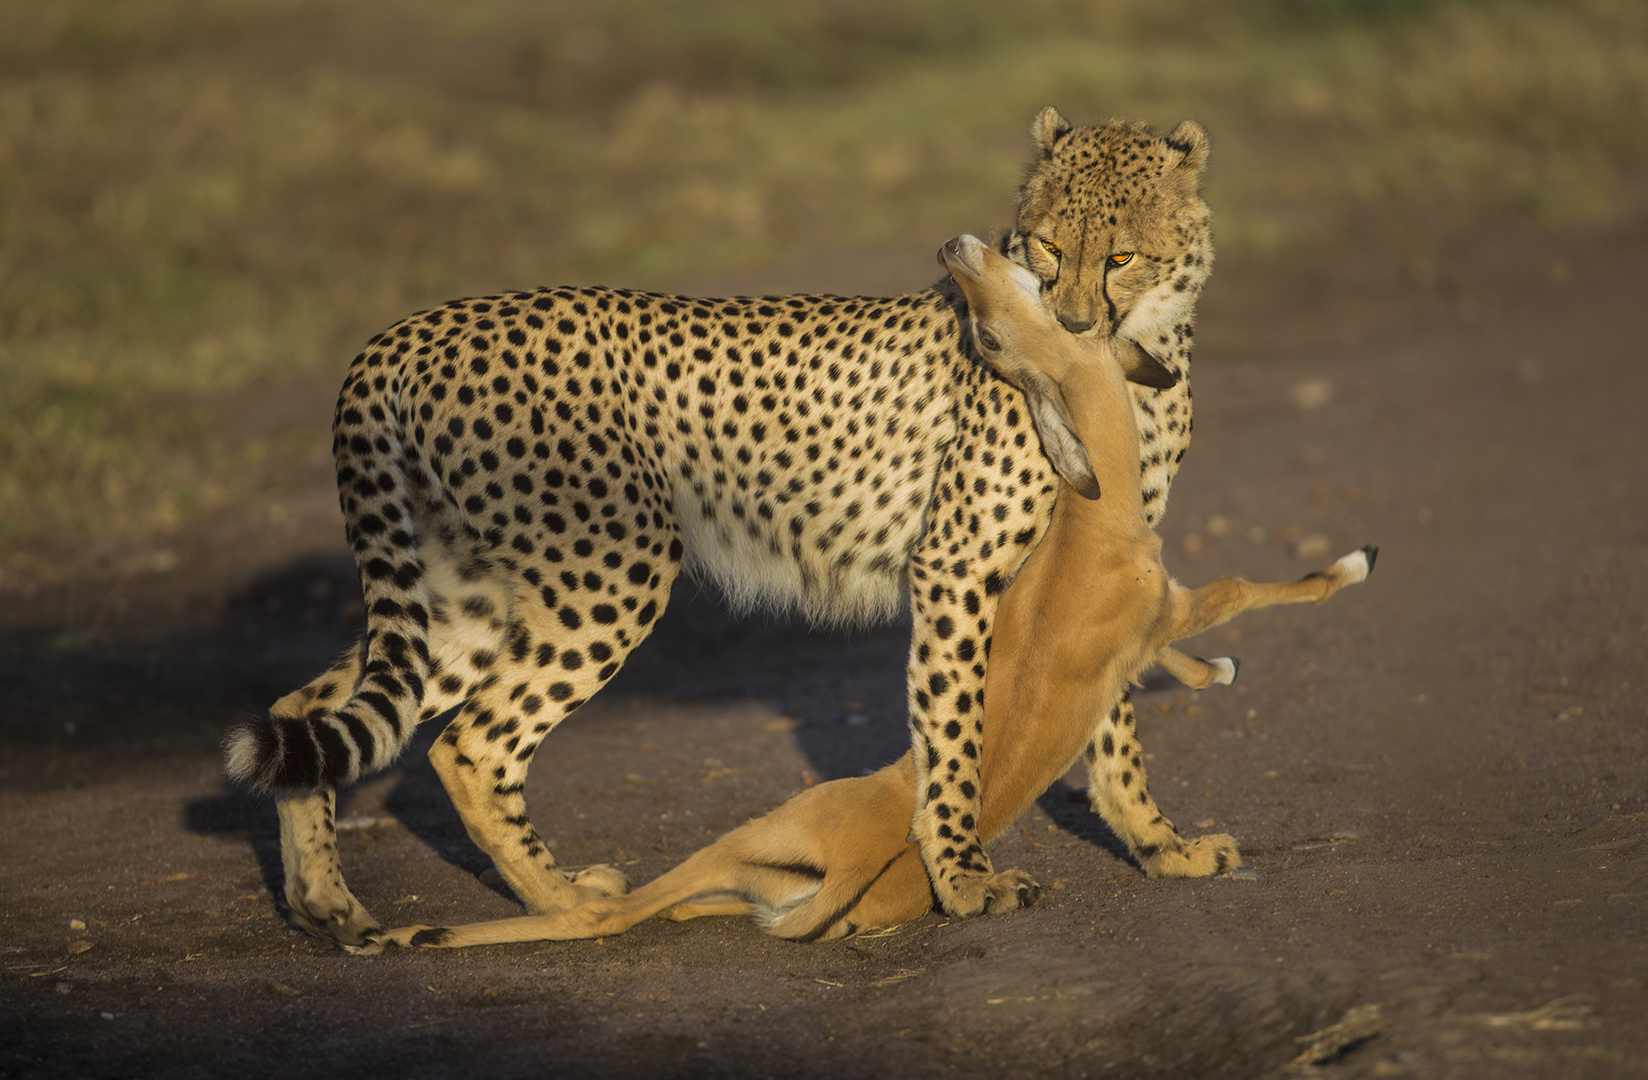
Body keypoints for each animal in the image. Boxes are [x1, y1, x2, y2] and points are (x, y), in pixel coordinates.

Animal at [222, 105, 1212, 943]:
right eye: (1046, 245)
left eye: (1121, 257)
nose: (1073, 320)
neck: (1125, 362)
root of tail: (411, 329)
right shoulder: (958, 567)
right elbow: (953, 733)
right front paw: (964, 878)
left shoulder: (1098, 565)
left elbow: (1107, 715)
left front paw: (1162, 846)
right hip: (605, 572)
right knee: (472, 746)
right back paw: (567, 906)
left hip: (469, 592)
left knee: (307, 709)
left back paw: (328, 904)